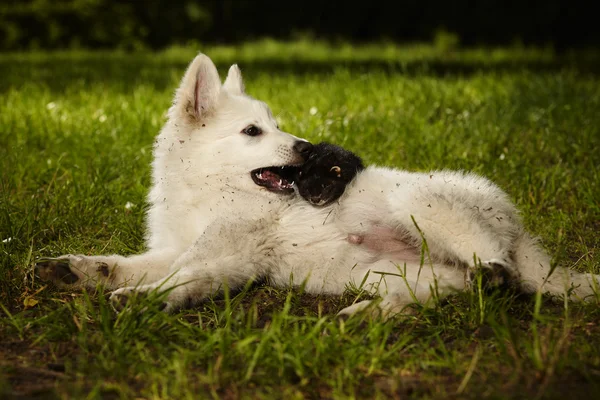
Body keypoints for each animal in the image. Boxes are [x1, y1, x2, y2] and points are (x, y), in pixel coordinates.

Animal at [35, 53, 596, 318]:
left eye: (277, 125)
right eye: (253, 131)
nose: (307, 149)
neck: (209, 192)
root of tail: (519, 232)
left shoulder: (227, 256)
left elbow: (183, 278)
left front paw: (145, 299)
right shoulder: (190, 249)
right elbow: (136, 266)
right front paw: (83, 270)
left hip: (426, 206)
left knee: (497, 271)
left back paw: (491, 275)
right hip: (381, 272)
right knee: (443, 290)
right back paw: (368, 316)